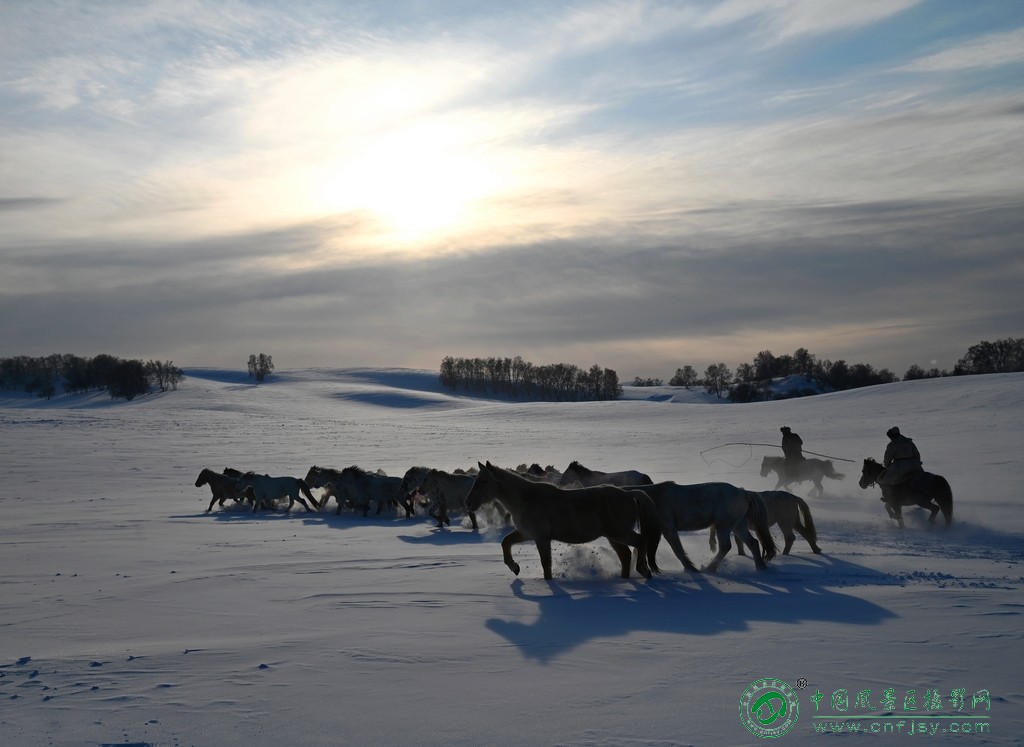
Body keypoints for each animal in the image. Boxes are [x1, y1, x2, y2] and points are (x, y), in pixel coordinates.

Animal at [466, 461, 659, 577]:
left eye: (484, 481)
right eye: (476, 479)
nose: (469, 502)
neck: (526, 499)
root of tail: (629, 494)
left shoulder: (541, 538)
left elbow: (546, 564)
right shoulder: (526, 533)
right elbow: (505, 542)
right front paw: (515, 567)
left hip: (619, 533)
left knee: (641, 542)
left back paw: (644, 570)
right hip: (614, 536)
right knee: (625, 555)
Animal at [630, 481, 774, 569]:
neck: (654, 497)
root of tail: (743, 492)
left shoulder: (668, 530)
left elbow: (678, 551)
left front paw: (690, 568)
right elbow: (638, 550)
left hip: (723, 524)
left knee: (725, 546)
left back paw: (710, 569)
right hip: (738, 526)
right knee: (753, 543)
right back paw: (760, 568)